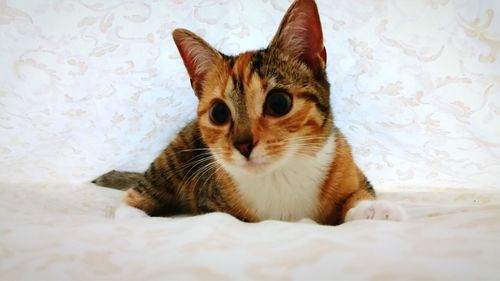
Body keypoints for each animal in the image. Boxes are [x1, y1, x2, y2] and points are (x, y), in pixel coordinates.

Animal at [93, 0, 406, 223]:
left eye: (278, 103)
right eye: (219, 113)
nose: (243, 144)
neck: (280, 175)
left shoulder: (346, 162)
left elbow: (359, 192)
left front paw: (372, 209)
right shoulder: (208, 196)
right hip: (177, 152)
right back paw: (133, 215)